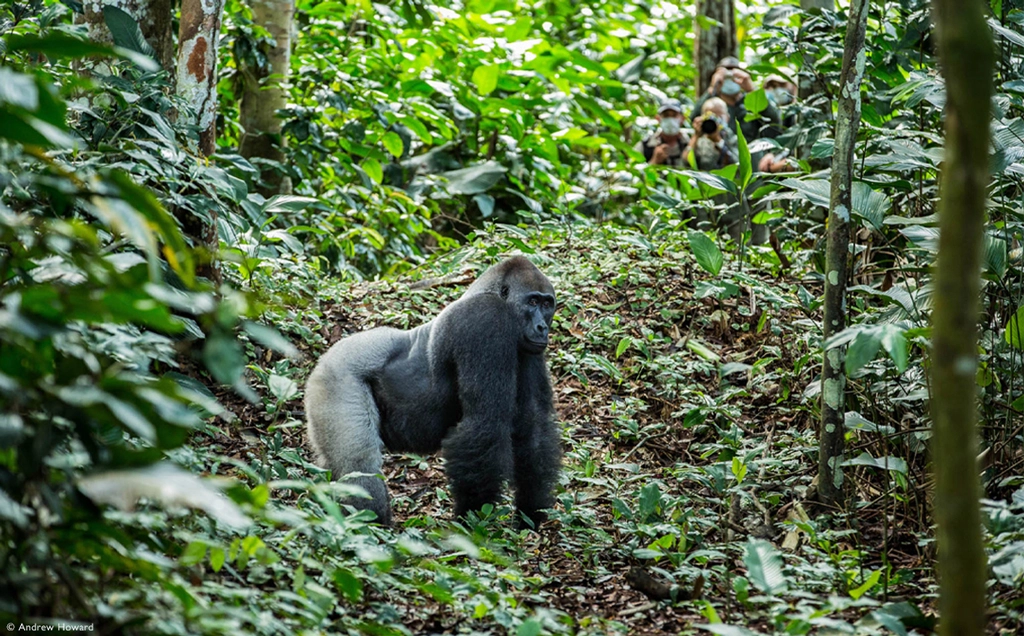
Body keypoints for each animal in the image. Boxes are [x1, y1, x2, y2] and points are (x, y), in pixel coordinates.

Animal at [304, 256, 561, 527]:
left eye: (547, 304)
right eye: (532, 302)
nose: (542, 327)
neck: (488, 292)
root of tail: (324, 358)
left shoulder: (528, 349)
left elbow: (533, 425)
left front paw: (531, 512)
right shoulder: (485, 320)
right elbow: (485, 423)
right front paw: (473, 519)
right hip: (336, 378)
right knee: (359, 463)